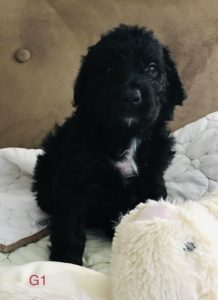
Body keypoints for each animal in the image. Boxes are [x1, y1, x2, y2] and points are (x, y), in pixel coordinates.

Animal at [31, 24, 186, 264]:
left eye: (152, 69)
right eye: (107, 68)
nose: (131, 96)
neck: (125, 135)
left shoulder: (151, 179)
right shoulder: (75, 182)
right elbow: (69, 227)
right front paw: (65, 263)